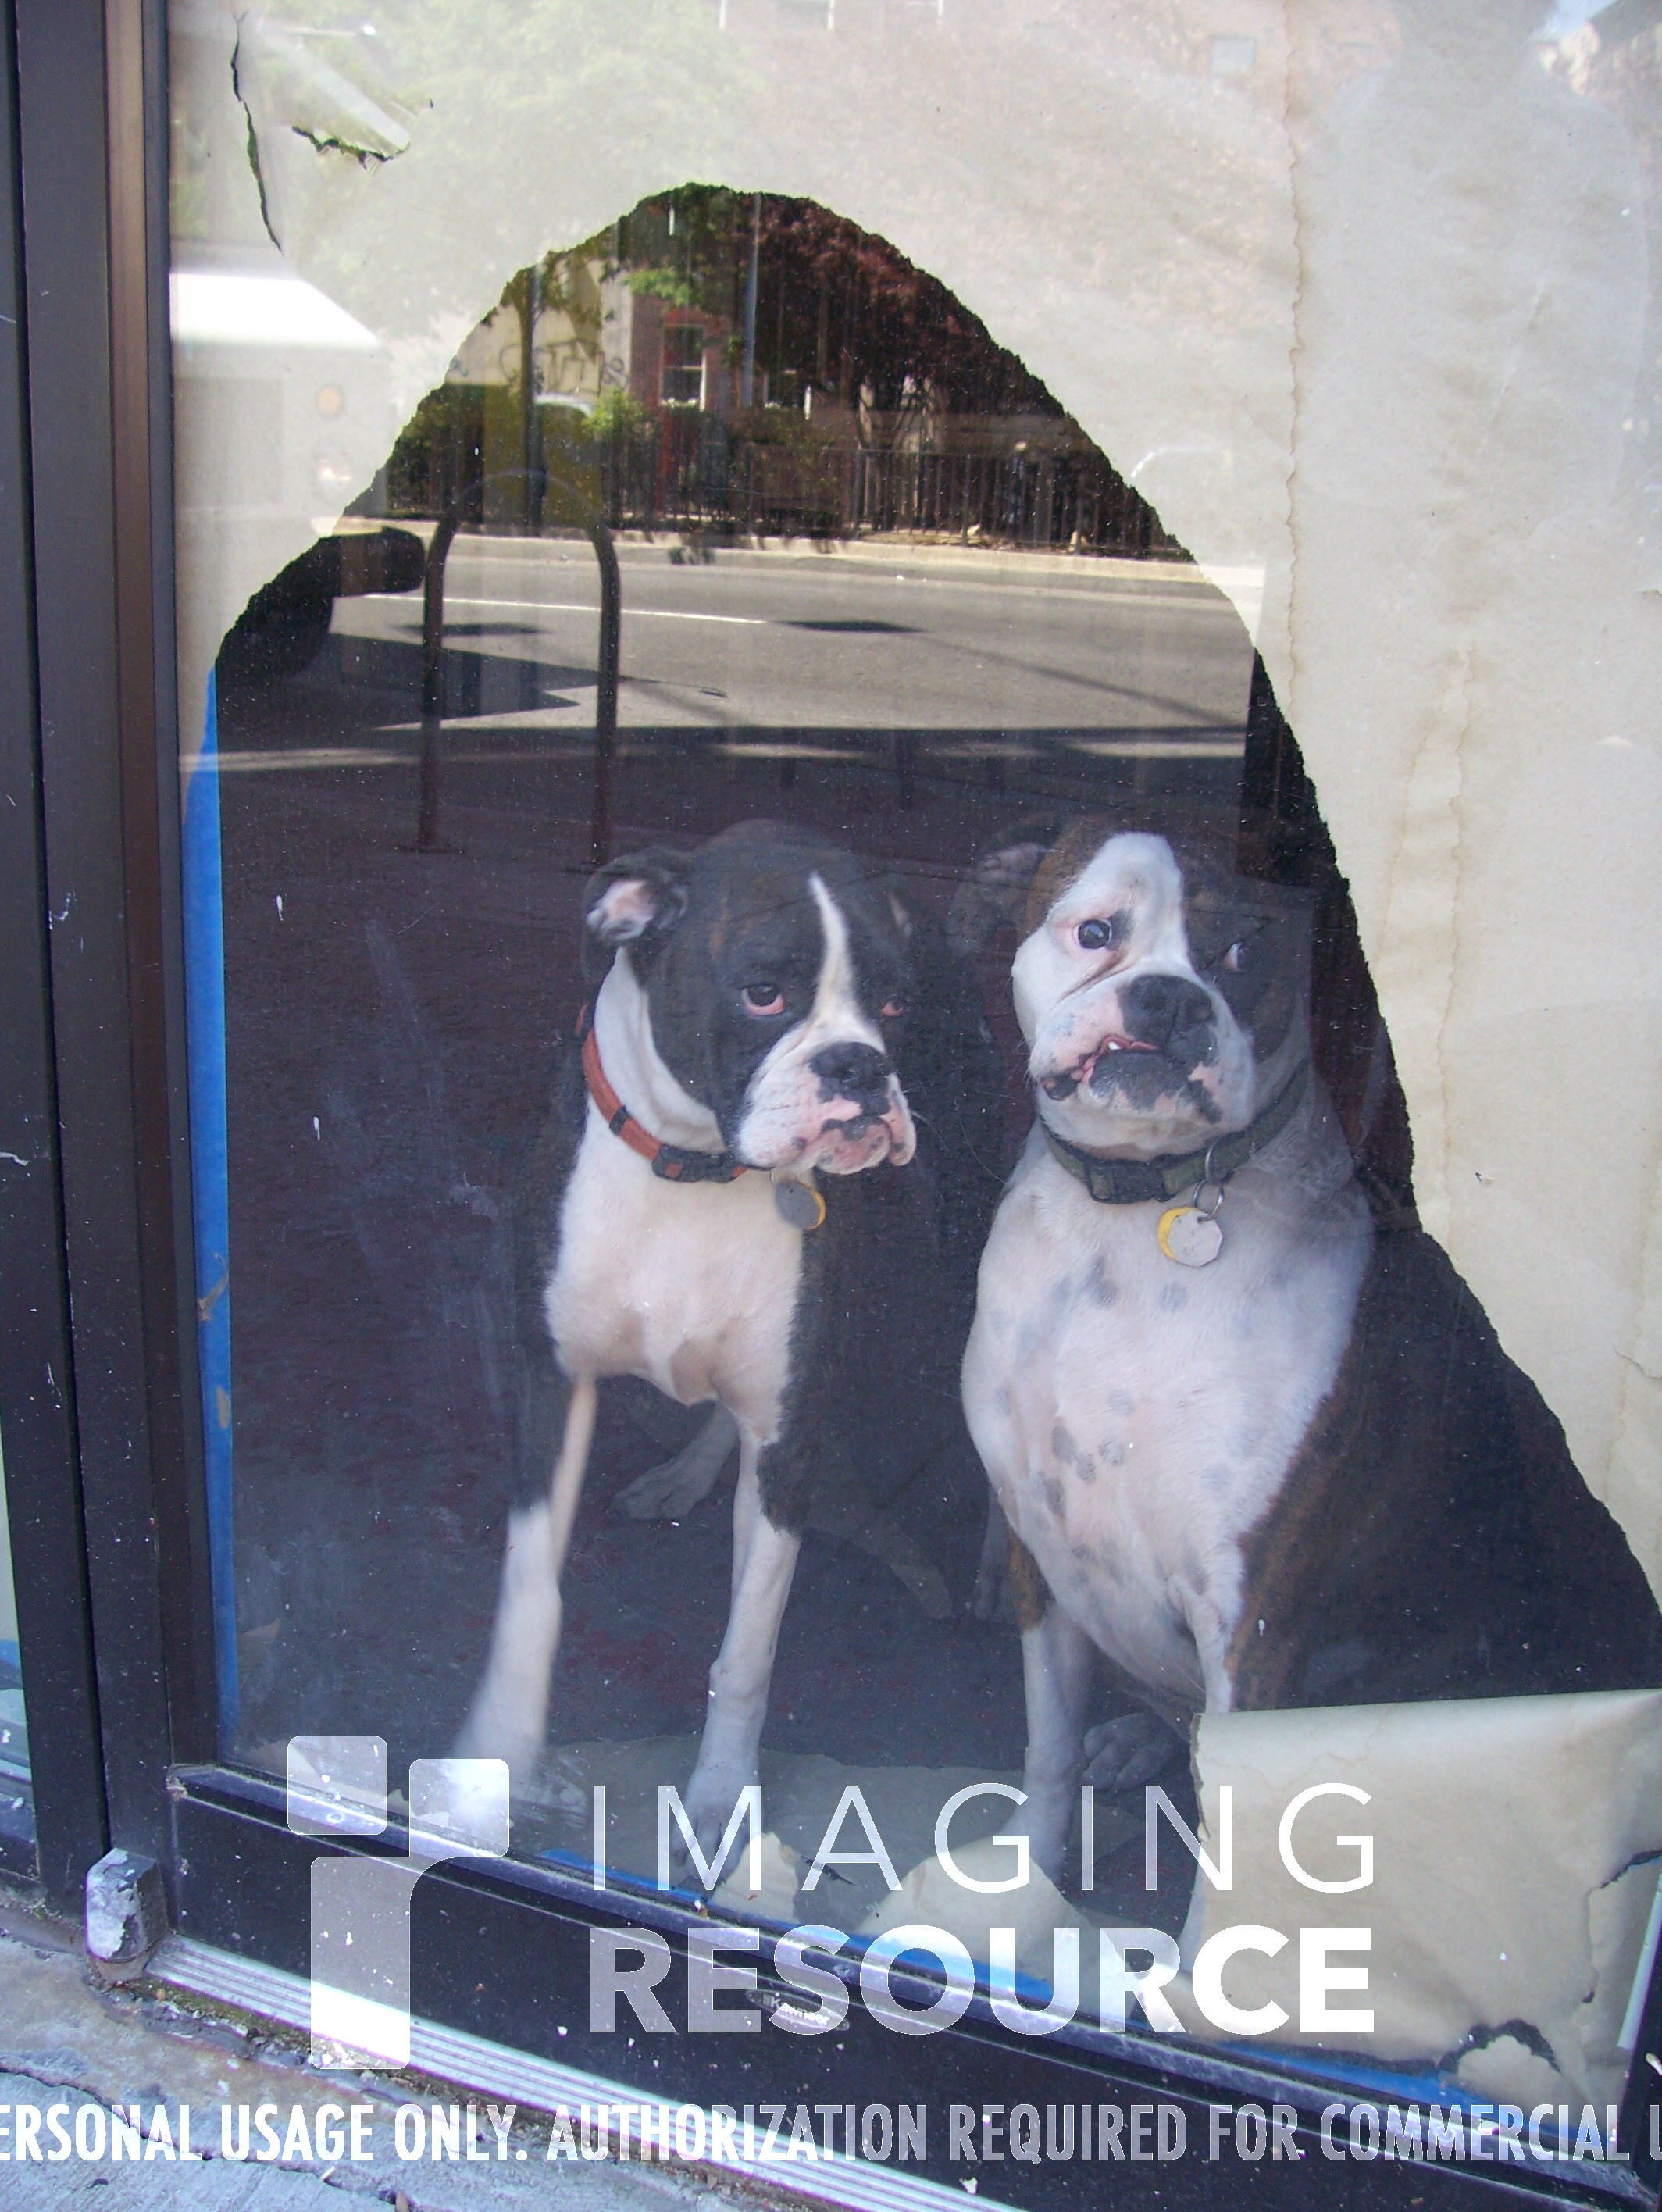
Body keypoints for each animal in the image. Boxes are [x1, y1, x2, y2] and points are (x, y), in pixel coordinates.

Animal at [457, 819, 981, 1862]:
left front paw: (720, 1795)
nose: (860, 1067)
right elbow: (531, 1593)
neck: (692, 1166)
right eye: (762, 992)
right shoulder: (550, 1382)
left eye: (893, 1002)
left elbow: (746, 1646)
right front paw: (500, 1746)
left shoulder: (788, 1440)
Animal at [954, 814, 1662, 1879]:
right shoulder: (1046, 1561)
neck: (1131, 1224)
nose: (1168, 997)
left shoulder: (1252, 1624)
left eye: (1245, 953)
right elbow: (1045, 1751)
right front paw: (1028, 1878)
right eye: (1096, 932)